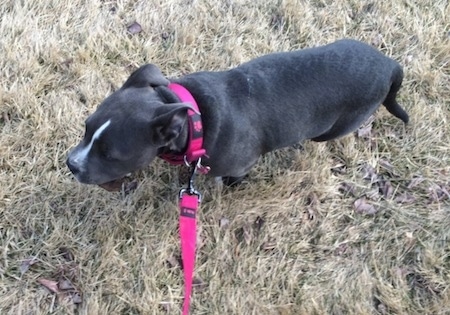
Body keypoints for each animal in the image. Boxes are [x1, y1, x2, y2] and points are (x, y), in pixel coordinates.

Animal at [66, 38, 408, 189]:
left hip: (337, 126)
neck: (195, 120)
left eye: (111, 155)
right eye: (86, 128)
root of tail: (390, 64)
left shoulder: (240, 162)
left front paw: (230, 186)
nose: (71, 164)